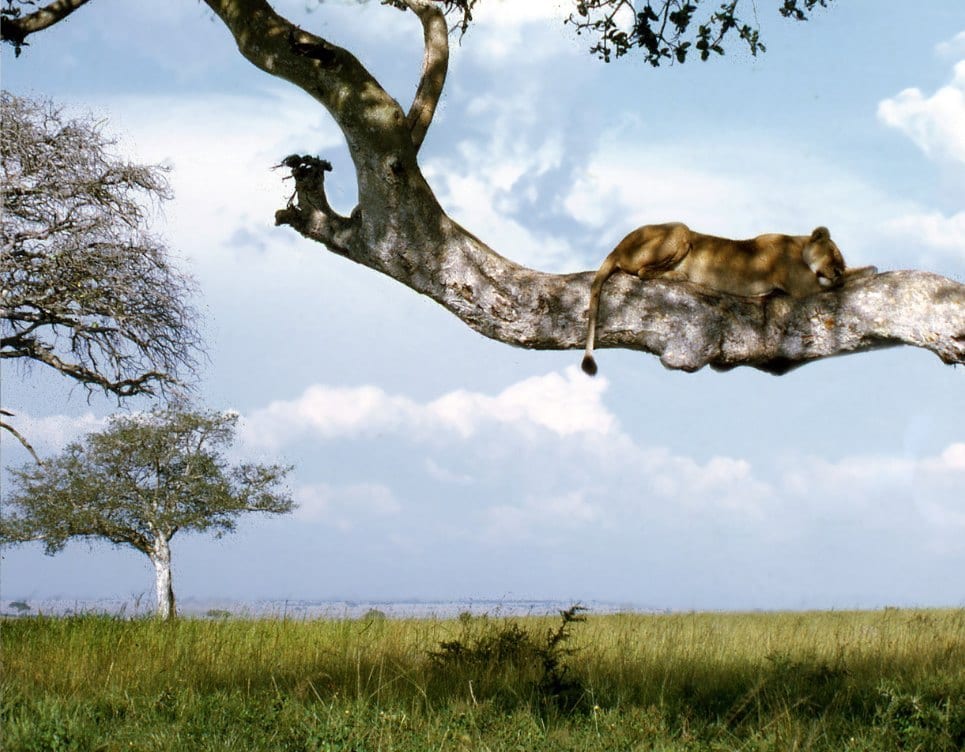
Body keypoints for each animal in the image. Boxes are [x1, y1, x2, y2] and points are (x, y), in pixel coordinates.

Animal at [581, 223, 876, 375]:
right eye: (834, 256)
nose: (837, 270)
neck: (798, 245)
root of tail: (617, 246)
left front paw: (861, 269)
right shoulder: (802, 285)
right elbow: (845, 282)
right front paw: (868, 271)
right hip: (680, 231)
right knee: (642, 272)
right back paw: (679, 275)